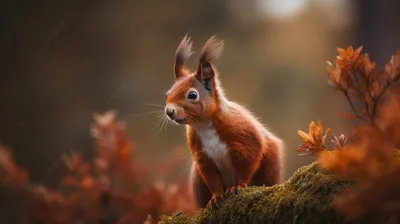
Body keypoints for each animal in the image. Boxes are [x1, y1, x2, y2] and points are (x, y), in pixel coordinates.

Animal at [163, 35, 284, 210]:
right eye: (168, 93)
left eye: (192, 95)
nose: (169, 111)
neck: (203, 124)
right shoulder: (203, 158)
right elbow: (212, 179)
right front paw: (216, 197)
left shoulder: (244, 137)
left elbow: (248, 161)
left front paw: (238, 186)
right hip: (197, 178)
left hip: (271, 163)